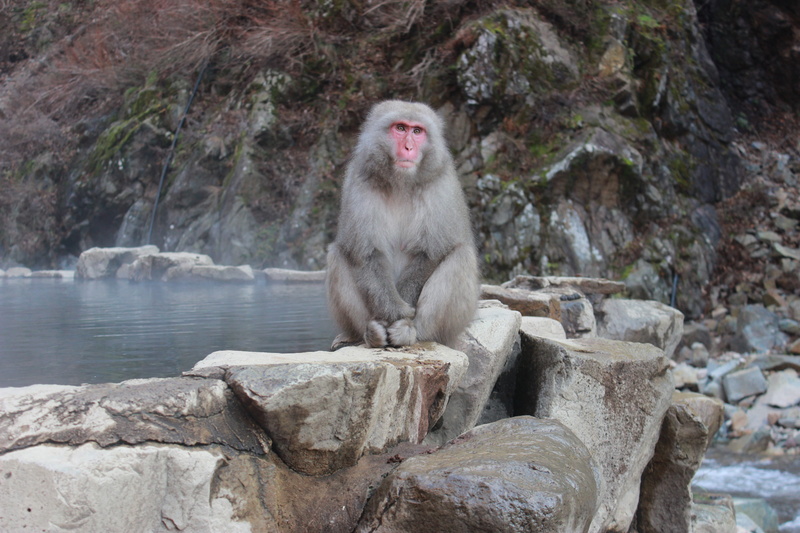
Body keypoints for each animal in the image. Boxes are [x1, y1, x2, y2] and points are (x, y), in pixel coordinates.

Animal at [326, 100, 479, 350]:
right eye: (400, 128)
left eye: (417, 131)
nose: (408, 147)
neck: (401, 183)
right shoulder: (360, 180)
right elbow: (366, 254)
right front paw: (393, 312)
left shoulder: (440, 185)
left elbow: (431, 253)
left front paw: (402, 316)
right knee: (338, 254)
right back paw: (371, 333)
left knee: (461, 255)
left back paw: (411, 332)